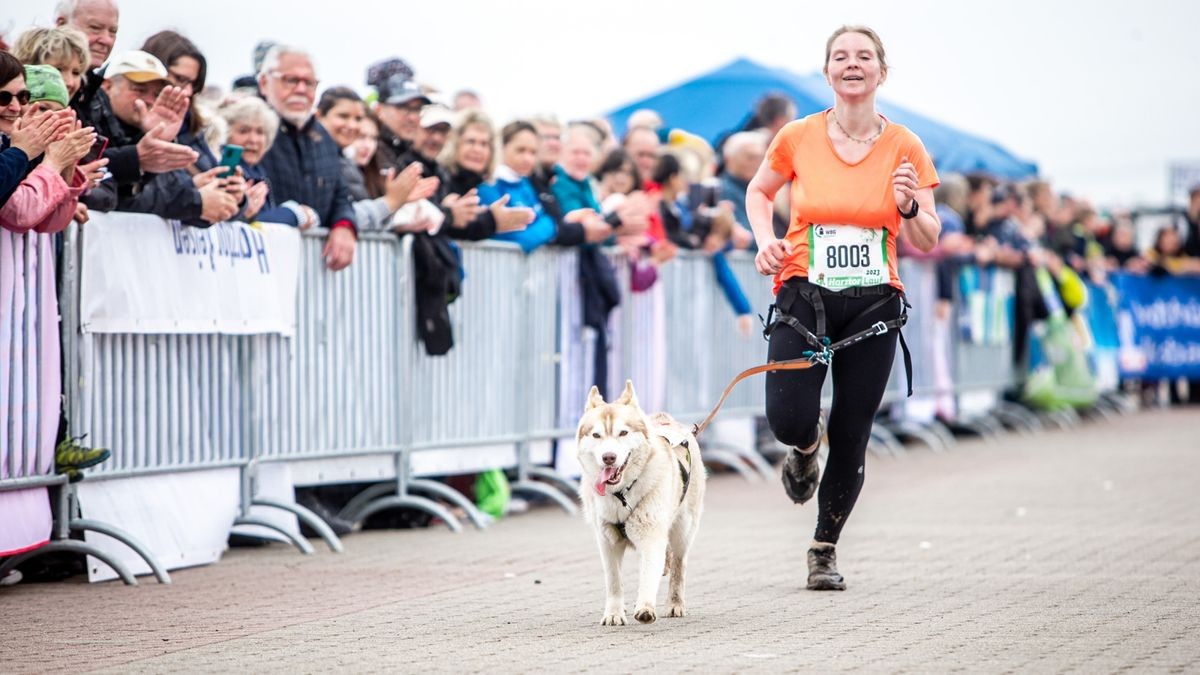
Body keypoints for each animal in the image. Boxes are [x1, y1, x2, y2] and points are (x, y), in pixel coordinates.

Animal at [578, 381, 705, 624]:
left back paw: (675, 603)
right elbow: (614, 582)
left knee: (678, 565)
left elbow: (649, 573)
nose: (609, 457)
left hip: (683, 529)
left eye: (623, 432)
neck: (621, 494)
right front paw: (614, 613)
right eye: (597, 435)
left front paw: (645, 606)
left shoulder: (651, 534)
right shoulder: (607, 541)